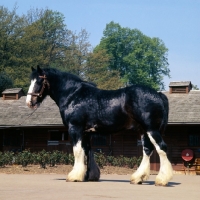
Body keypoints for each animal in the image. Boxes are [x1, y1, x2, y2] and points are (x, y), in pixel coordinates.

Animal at [26, 65, 173, 186]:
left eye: (39, 81)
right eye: (31, 80)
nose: (29, 102)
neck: (73, 95)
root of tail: (158, 95)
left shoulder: (75, 128)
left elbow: (77, 151)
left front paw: (74, 176)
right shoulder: (86, 132)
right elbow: (86, 151)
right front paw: (88, 176)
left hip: (151, 129)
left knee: (161, 148)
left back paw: (161, 180)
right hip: (143, 130)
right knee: (147, 150)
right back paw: (138, 178)